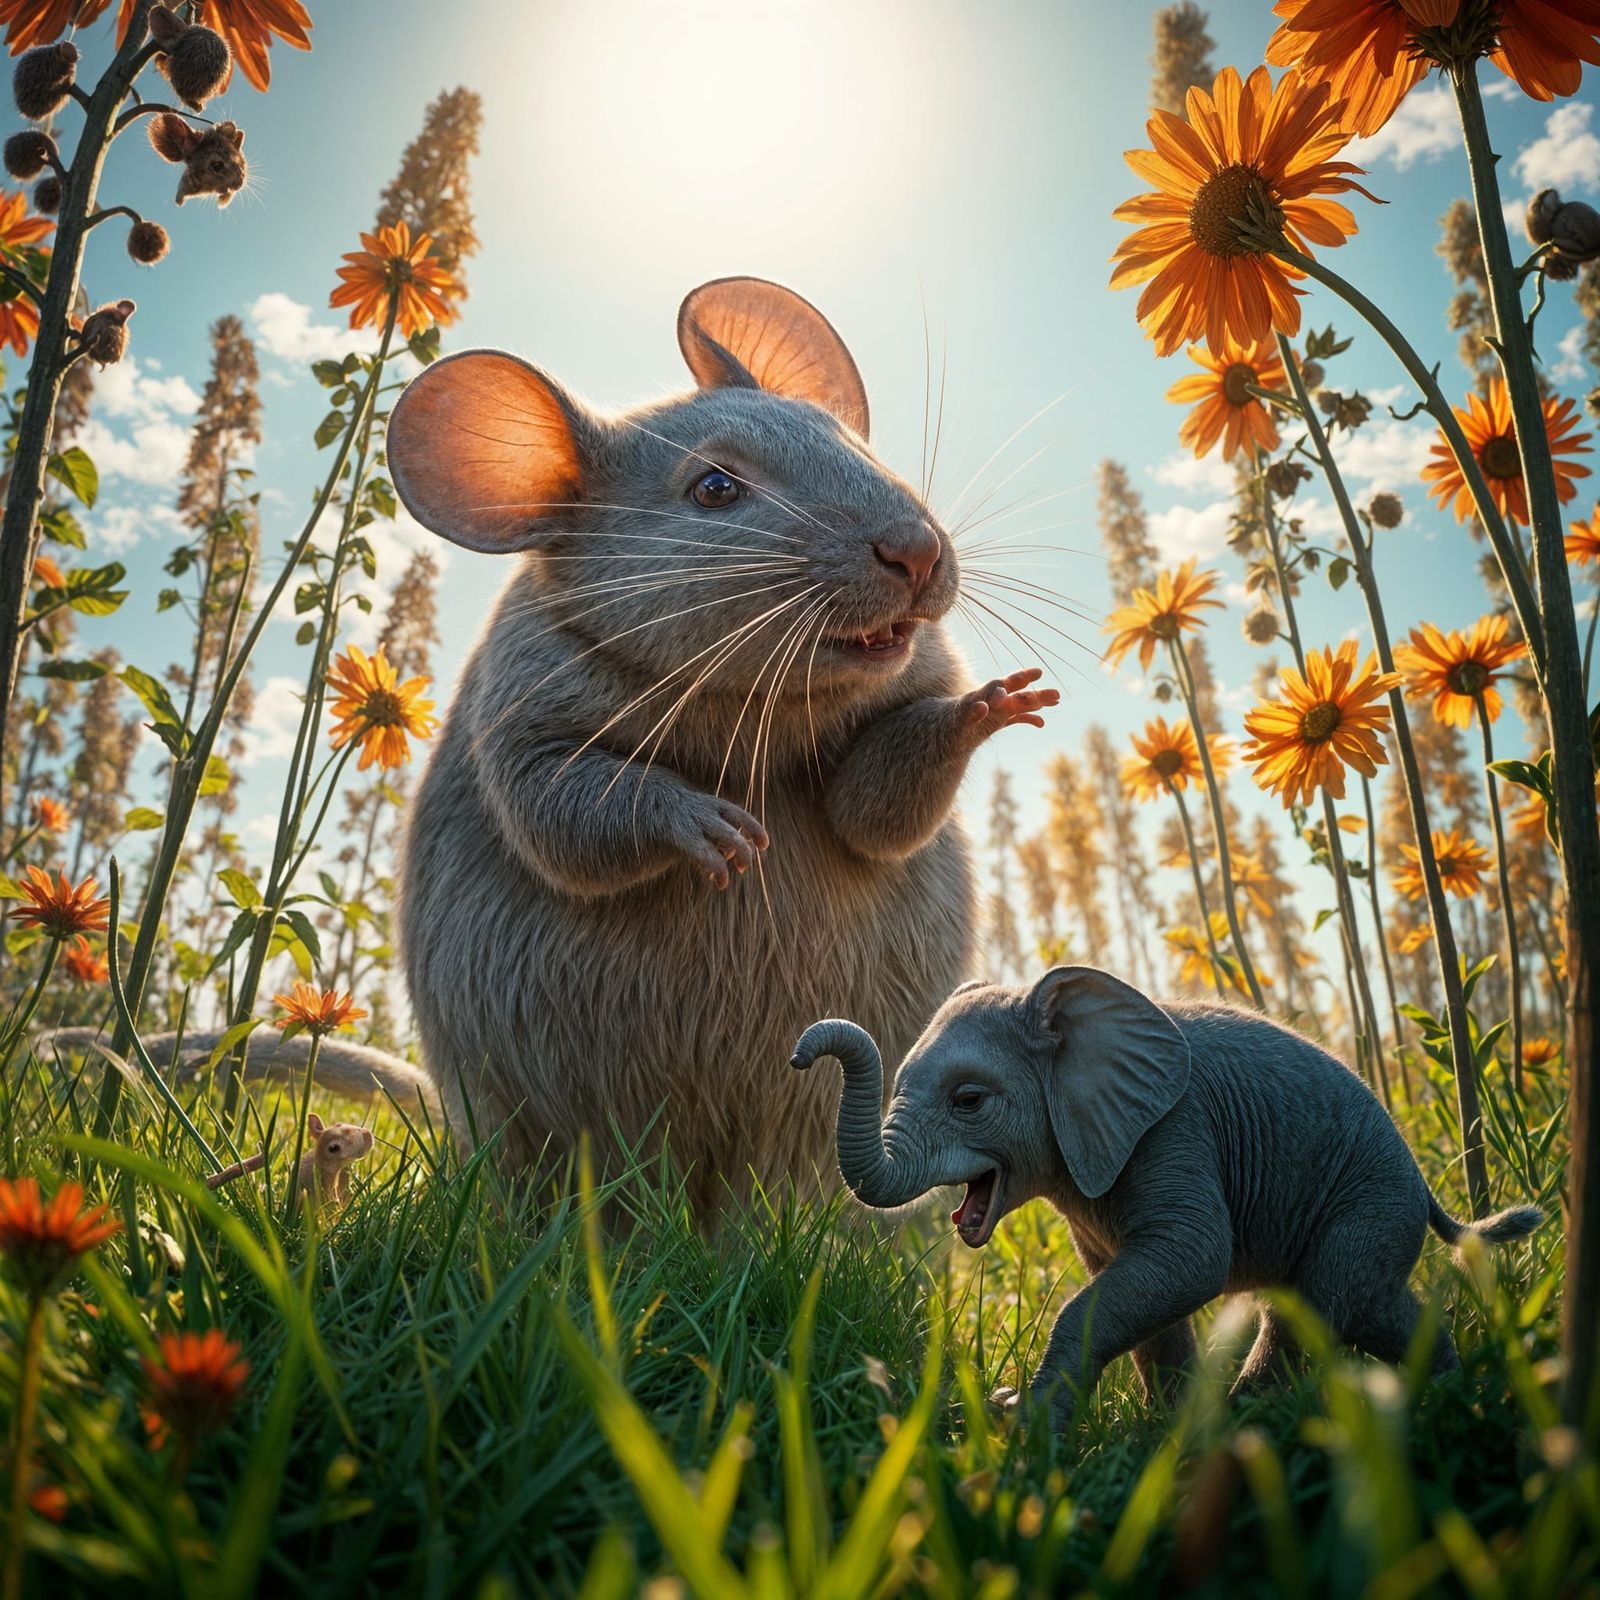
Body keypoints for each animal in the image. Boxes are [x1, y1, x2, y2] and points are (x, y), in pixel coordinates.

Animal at [790, 966, 1543, 1426]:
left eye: (969, 1101)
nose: (799, 1054)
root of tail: (1424, 1184)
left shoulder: (1174, 1129)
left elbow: (1190, 1262)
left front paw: (1024, 1423)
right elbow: (1139, 1287)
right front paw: (1165, 1432)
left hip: (1371, 1199)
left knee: (1328, 1301)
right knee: (1347, 1304)